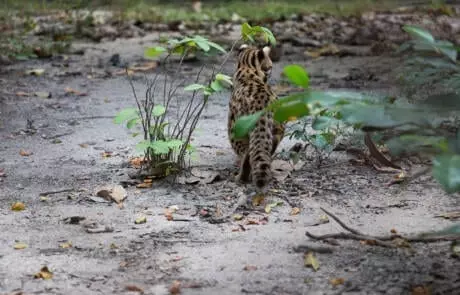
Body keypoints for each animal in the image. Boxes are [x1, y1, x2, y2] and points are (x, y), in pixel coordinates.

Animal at [226, 44, 284, 192]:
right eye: (269, 66)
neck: (247, 67)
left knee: (247, 153)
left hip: (236, 131)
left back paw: (241, 177)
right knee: (267, 147)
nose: (270, 70)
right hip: (277, 127)